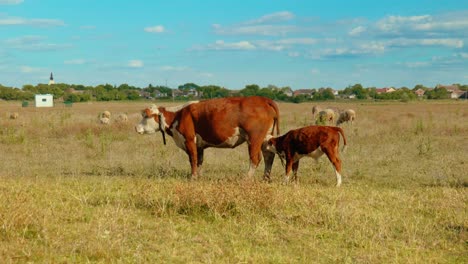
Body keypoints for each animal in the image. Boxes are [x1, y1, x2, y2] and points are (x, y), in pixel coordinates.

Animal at [133, 96, 280, 180]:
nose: (136, 128)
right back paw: (265, 178)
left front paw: (193, 177)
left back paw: (247, 178)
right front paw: (199, 176)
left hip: (254, 138)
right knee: (269, 157)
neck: (178, 115)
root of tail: (263, 99)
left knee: (255, 159)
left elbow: (193, 159)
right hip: (266, 138)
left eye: (146, 116)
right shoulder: (199, 146)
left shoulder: (189, 140)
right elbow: (199, 161)